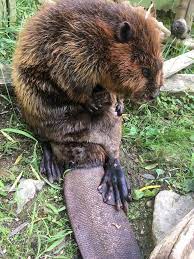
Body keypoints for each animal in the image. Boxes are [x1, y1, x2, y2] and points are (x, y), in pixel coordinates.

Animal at [12, 0, 163, 213]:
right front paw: (92, 103)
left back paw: (116, 187)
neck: (103, 36)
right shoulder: (72, 47)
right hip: (31, 105)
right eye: (146, 70)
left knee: (112, 152)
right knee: (44, 138)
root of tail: (81, 163)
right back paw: (52, 167)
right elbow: (69, 81)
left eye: (160, 65)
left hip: (111, 128)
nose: (154, 94)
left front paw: (119, 104)